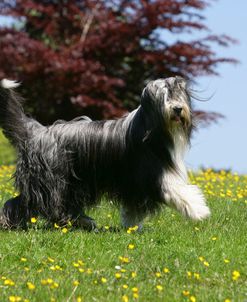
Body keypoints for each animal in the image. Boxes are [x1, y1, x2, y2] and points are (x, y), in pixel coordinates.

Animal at [0, 77, 210, 229]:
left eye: (179, 95)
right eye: (164, 96)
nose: (177, 109)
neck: (149, 128)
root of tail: (37, 132)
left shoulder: (132, 183)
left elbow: (133, 207)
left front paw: (131, 226)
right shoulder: (151, 173)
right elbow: (175, 190)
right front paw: (199, 210)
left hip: (71, 184)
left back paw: (84, 223)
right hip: (50, 181)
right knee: (35, 204)